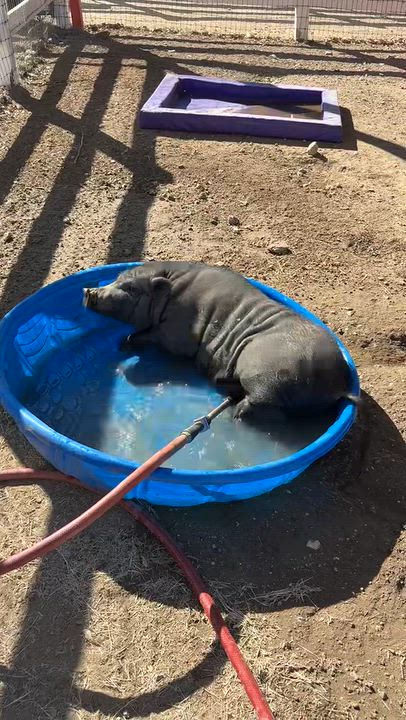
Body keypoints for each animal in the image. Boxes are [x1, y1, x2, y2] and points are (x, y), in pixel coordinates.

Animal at [83, 261, 357, 420]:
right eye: (116, 279)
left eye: (131, 289)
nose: (88, 291)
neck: (171, 294)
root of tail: (337, 383)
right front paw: (123, 343)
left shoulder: (177, 334)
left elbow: (156, 338)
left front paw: (128, 342)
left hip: (267, 373)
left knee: (259, 400)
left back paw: (237, 412)